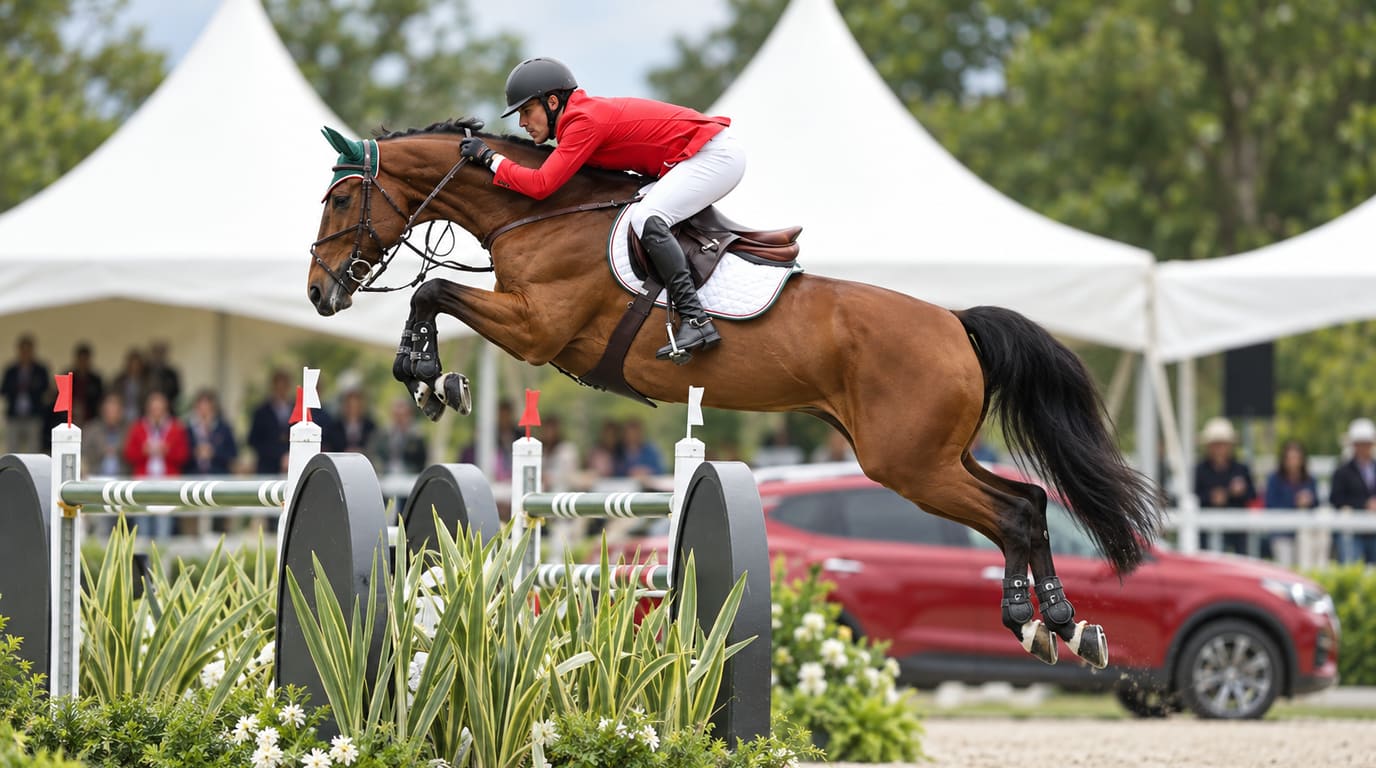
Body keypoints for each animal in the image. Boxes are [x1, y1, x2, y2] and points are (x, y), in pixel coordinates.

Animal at [307, 118, 1160, 669]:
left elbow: (434, 291)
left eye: (343, 201)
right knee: (1029, 504)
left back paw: (1036, 623)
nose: (319, 292)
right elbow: (436, 294)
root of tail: (955, 323)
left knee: (1012, 513)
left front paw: (430, 376)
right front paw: (431, 377)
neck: (540, 212)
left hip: (909, 464)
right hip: (931, 456)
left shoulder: (537, 329)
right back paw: (1061, 627)